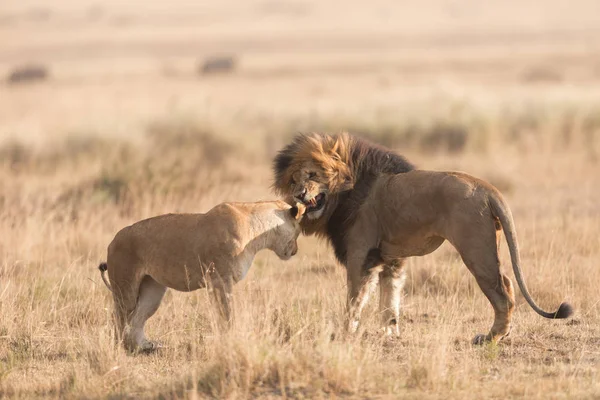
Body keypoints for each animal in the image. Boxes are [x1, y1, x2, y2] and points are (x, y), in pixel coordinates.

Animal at [100, 200, 304, 350]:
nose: (295, 251)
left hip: (152, 291)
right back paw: (119, 349)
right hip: (125, 288)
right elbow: (227, 313)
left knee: (137, 319)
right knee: (118, 319)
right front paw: (230, 338)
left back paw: (145, 347)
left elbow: (221, 314)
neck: (257, 231)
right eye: (298, 232)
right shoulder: (220, 280)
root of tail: (113, 240)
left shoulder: (216, 283)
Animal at [272, 132, 572, 344]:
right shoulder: (389, 259)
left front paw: (345, 333)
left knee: (503, 293)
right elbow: (389, 301)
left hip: (475, 249)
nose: (299, 194)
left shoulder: (360, 255)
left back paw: (490, 338)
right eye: (293, 180)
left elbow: (355, 300)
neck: (343, 192)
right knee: (507, 285)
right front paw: (390, 335)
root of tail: (486, 188)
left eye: (313, 175)